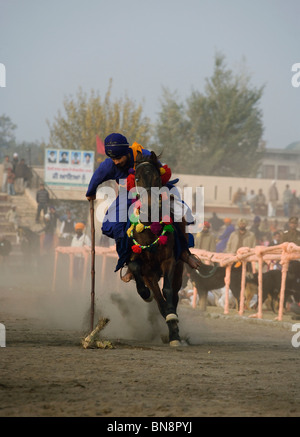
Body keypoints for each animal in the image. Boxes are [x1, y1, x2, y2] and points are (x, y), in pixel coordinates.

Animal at [126, 152, 185, 346]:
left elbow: (168, 293)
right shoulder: (146, 271)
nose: (150, 206)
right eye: (136, 178)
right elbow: (155, 296)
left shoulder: (169, 261)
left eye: (156, 178)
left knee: (174, 295)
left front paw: (173, 327)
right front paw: (146, 293)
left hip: (179, 269)